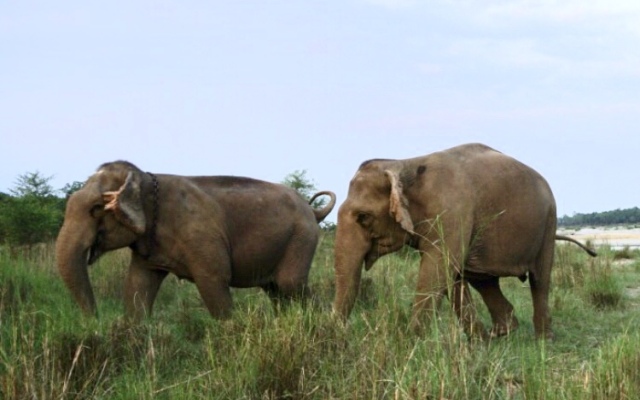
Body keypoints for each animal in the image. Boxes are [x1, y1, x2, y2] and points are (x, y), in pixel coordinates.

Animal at [55, 161, 338, 320]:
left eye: (95, 209)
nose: (95, 320)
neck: (145, 178)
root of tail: (313, 211)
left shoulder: (201, 235)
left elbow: (214, 280)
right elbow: (138, 285)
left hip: (302, 238)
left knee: (291, 285)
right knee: (275, 290)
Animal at [332, 142, 596, 340]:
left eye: (363, 217)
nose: (341, 334)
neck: (403, 163)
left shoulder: (452, 211)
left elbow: (437, 269)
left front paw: (410, 342)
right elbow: (451, 274)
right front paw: (477, 344)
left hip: (549, 221)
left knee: (539, 279)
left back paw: (542, 339)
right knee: (483, 279)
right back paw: (501, 333)